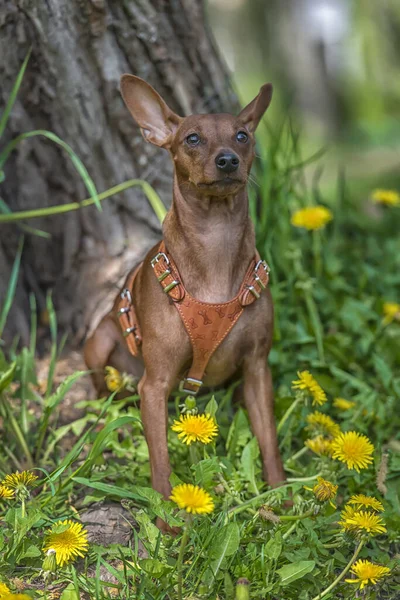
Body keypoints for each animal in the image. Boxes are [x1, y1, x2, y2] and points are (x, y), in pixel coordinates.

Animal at [83, 75, 284, 528]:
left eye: (243, 135)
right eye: (192, 138)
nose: (228, 160)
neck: (216, 249)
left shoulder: (257, 369)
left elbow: (270, 442)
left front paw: (283, 498)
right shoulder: (154, 386)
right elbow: (160, 462)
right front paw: (165, 522)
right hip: (99, 345)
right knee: (103, 392)